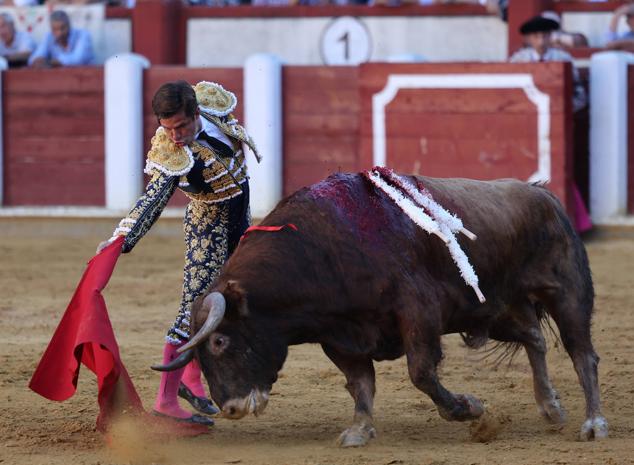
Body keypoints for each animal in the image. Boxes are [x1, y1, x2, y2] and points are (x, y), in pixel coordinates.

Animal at [154, 172, 608, 444]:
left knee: (582, 354)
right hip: (494, 309)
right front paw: (359, 430)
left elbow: (421, 373)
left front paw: (467, 408)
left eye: (219, 341)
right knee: (534, 338)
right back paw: (550, 407)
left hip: (567, 293)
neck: (320, 249)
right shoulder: (339, 337)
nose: (229, 408)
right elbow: (360, 384)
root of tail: (541, 192)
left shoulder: (419, 314)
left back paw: (593, 423)